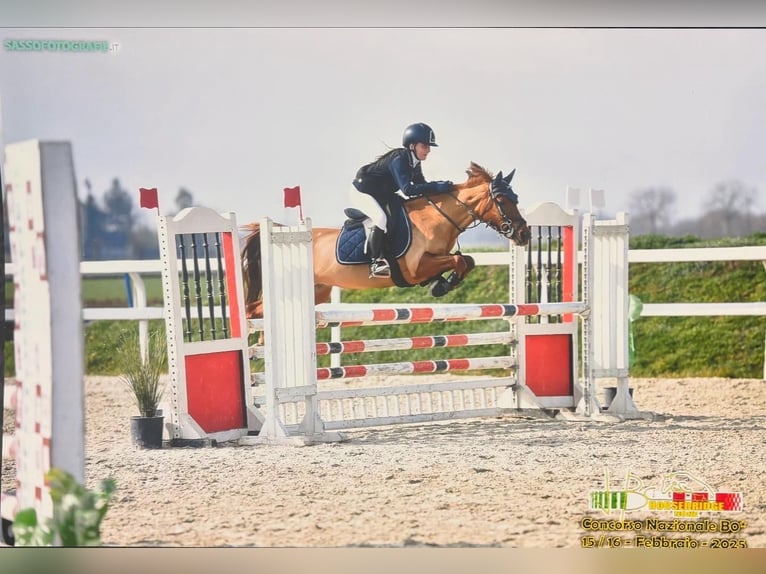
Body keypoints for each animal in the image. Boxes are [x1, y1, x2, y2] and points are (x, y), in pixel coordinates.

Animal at [242, 162, 531, 318]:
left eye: (516, 198)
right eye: (502, 199)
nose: (524, 234)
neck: (438, 217)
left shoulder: (431, 263)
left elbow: (465, 260)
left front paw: (440, 285)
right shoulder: (414, 268)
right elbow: (461, 261)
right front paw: (444, 285)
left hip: (317, 291)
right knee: (253, 310)